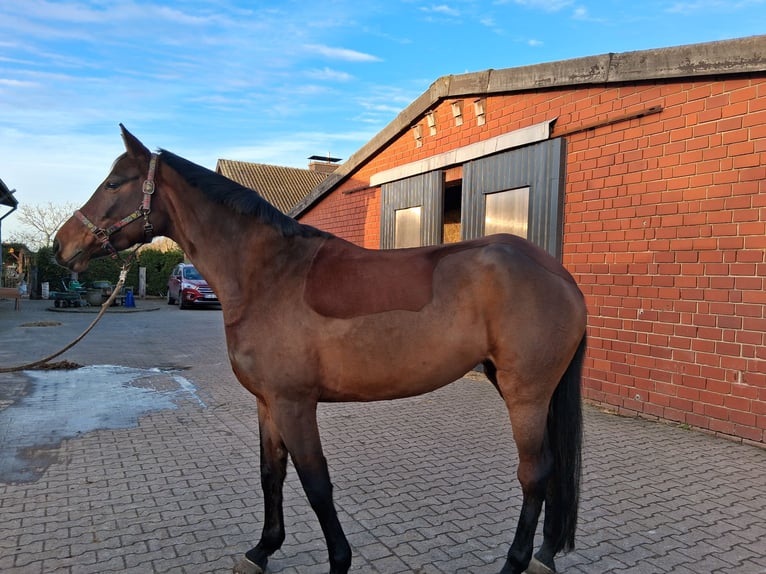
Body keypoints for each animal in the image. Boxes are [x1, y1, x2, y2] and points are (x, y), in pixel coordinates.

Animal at [53, 125, 587, 574]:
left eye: (114, 183)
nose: (62, 245)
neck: (269, 275)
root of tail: (559, 274)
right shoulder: (268, 403)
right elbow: (271, 474)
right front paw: (261, 550)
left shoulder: (295, 403)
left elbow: (315, 483)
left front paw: (338, 560)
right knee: (552, 470)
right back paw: (543, 555)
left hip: (525, 394)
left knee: (534, 473)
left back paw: (516, 562)